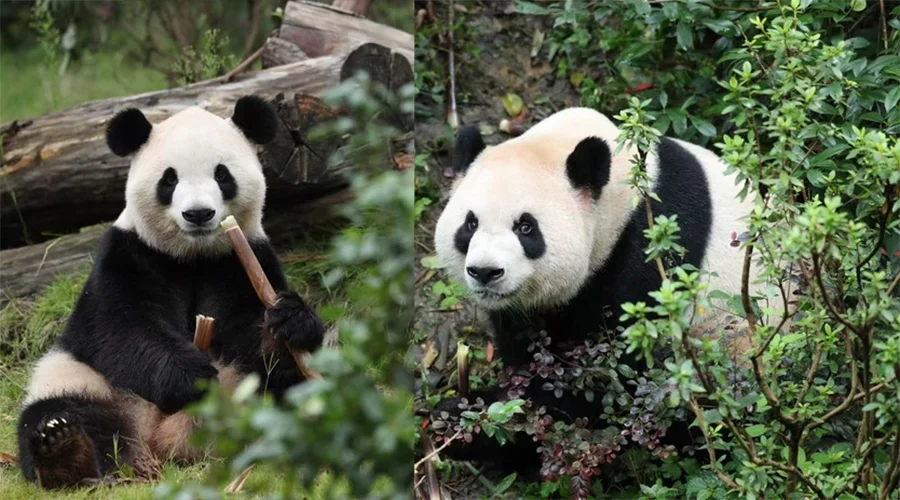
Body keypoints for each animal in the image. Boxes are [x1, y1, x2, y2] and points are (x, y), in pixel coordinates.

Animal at [17, 96, 325, 489]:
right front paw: (189, 377)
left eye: (222, 174)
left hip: (244, 393)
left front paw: (288, 322)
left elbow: (250, 332)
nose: (199, 214)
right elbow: (122, 329)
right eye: (169, 179)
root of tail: (160, 441)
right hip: (82, 379)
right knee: (59, 411)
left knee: (289, 392)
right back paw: (65, 450)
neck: (193, 256)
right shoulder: (128, 256)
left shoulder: (241, 260)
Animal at [431, 107, 760, 472]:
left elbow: (604, 383)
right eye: (470, 223)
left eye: (526, 228)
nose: (485, 272)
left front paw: (475, 426)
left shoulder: (651, 255)